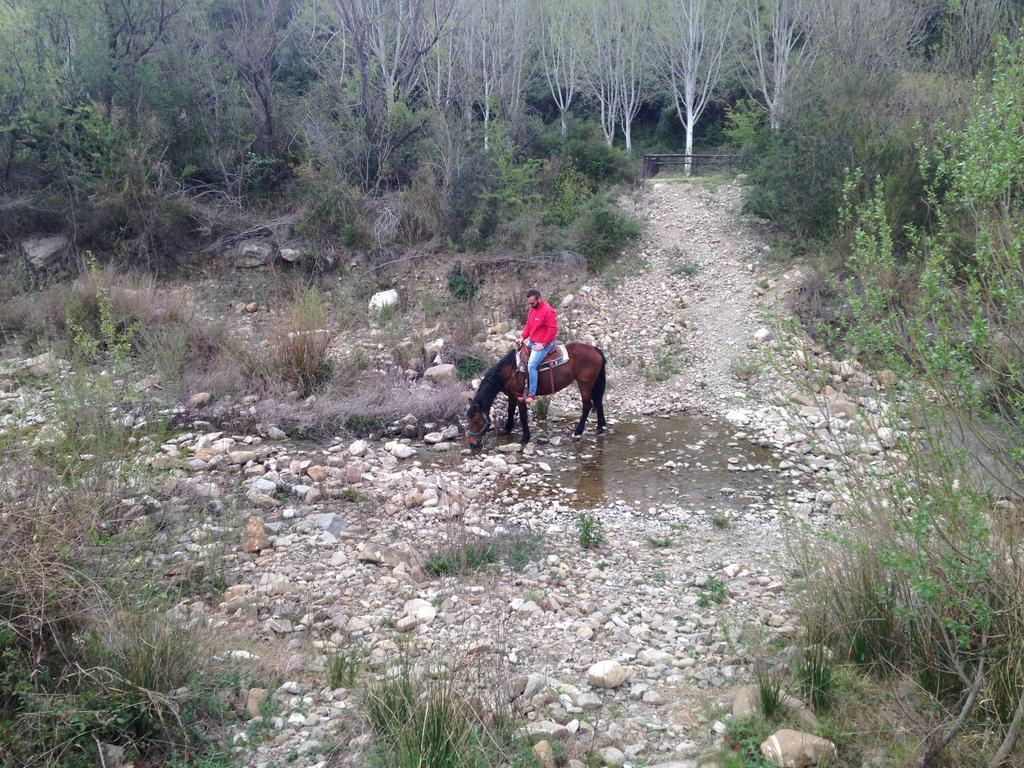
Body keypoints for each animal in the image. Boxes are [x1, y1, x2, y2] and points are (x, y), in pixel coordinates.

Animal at [466, 344, 606, 448]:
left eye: (476, 421)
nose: (472, 443)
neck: (510, 371)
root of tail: (594, 348)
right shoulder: (511, 396)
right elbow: (510, 412)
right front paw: (507, 429)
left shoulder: (519, 396)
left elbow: (523, 416)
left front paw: (525, 438)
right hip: (593, 383)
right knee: (598, 401)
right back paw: (600, 427)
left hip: (585, 384)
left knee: (587, 405)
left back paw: (577, 433)